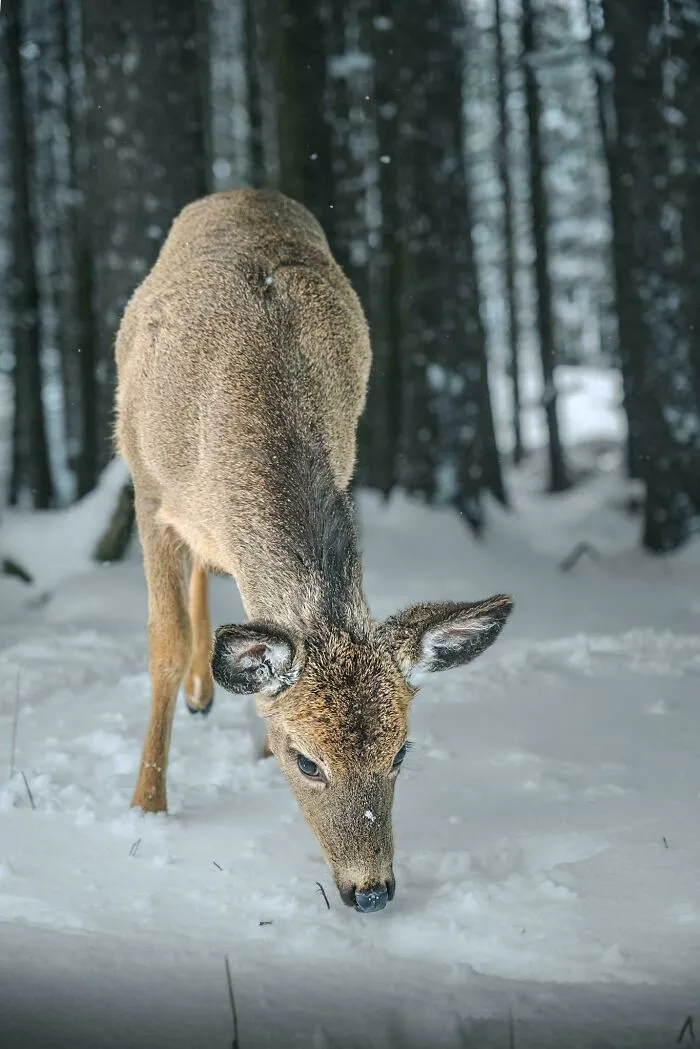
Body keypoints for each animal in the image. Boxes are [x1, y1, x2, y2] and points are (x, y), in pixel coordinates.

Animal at [115, 188, 513, 913]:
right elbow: (163, 645)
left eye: (401, 752)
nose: (372, 891)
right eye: (306, 761)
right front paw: (147, 805)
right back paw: (197, 693)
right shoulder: (149, 492)